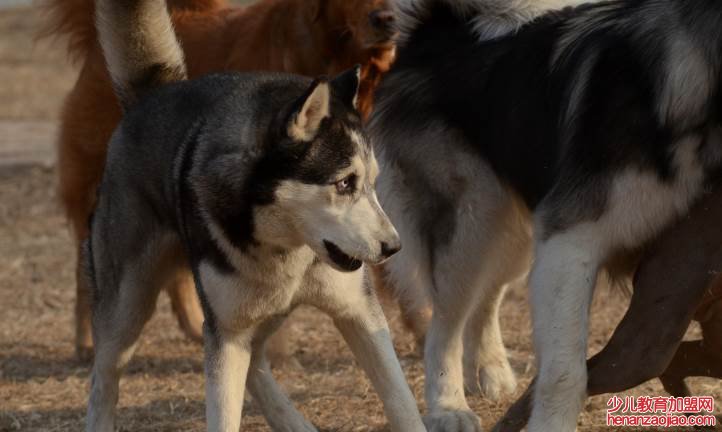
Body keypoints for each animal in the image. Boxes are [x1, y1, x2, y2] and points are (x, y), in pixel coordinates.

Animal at [43, 0, 396, 360]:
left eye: (371, 182)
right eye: (343, 183)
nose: (393, 247)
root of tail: (151, 92)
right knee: (94, 286)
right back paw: (88, 342)